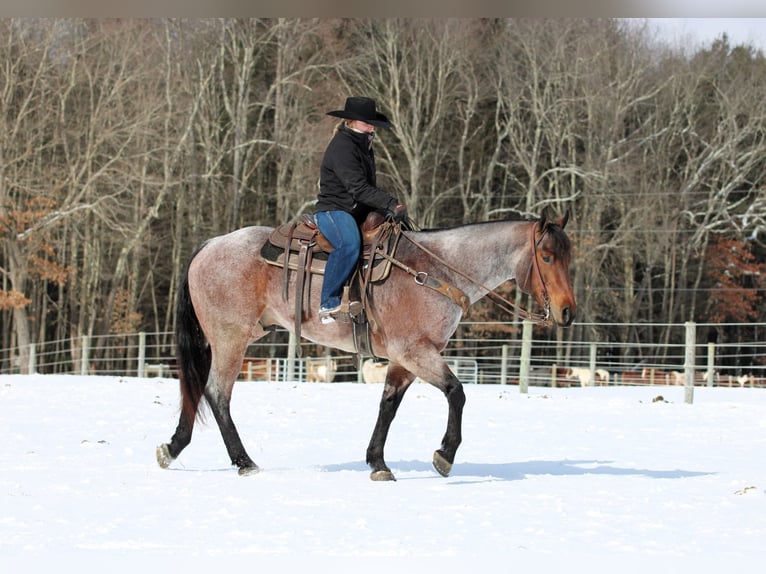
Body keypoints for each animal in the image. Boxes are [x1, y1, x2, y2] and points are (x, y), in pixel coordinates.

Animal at [158, 207, 576, 482]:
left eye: (568, 257)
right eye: (547, 256)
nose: (568, 312)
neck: (435, 269)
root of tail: (210, 245)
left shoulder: (403, 359)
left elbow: (388, 406)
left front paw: (377, 462)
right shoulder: (415, 351)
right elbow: (456, 393)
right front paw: (444, 455)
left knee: (198, 390)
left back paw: (174, 447)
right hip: (230, 338)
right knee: (217, 393)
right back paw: (243, 461)